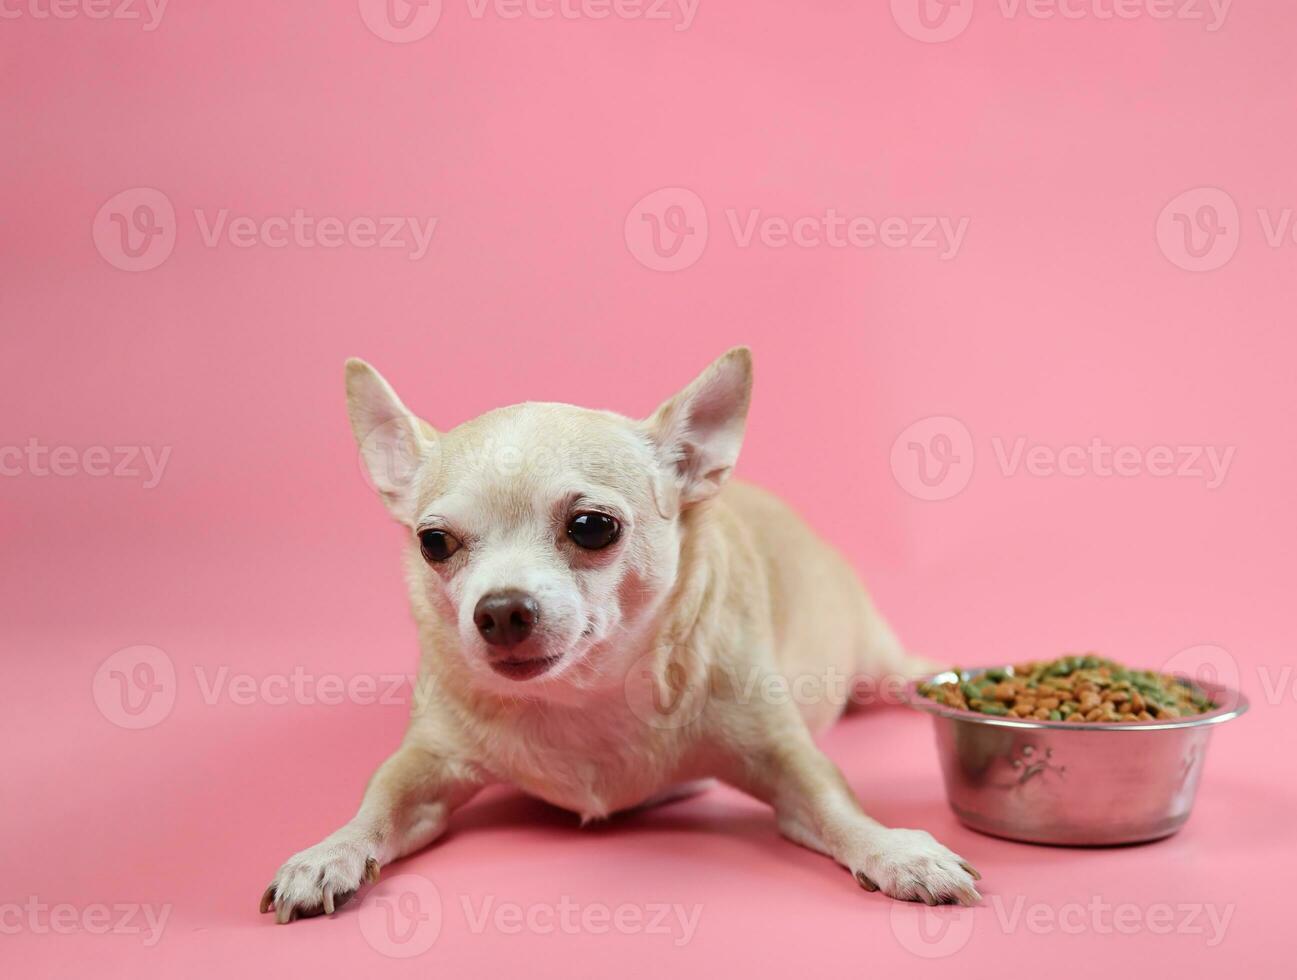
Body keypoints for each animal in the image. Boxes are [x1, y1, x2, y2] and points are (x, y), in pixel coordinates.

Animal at [258, 347, 975, 922]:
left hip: (876, 661)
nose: (500, 610)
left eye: (592, 527)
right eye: (434, 542)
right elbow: (379, 802)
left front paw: (895, 850)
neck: (585, 696)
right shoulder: (426, 763)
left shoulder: (785, 757)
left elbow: (835, 805)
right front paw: (329, 853)